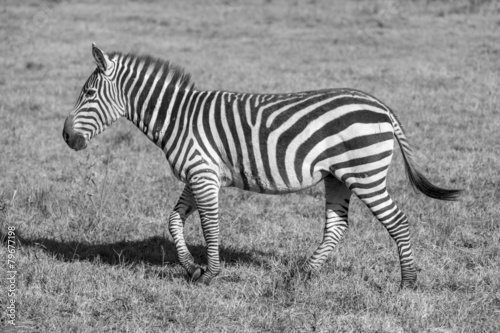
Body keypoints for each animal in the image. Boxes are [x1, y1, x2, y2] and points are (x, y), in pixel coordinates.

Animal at [62, 43, 460, 288]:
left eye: (89, 94)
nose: (66, 137)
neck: (177, 117)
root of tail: (380, 105)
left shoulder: (203, 175)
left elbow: (210, 226)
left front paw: (211, 273)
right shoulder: (197, 173)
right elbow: (174, 221)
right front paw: (192, 268)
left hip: (365, 173)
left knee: (398, 221)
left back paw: (407, 283)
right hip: (337, 177)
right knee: (337, 226)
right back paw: (302, 275)